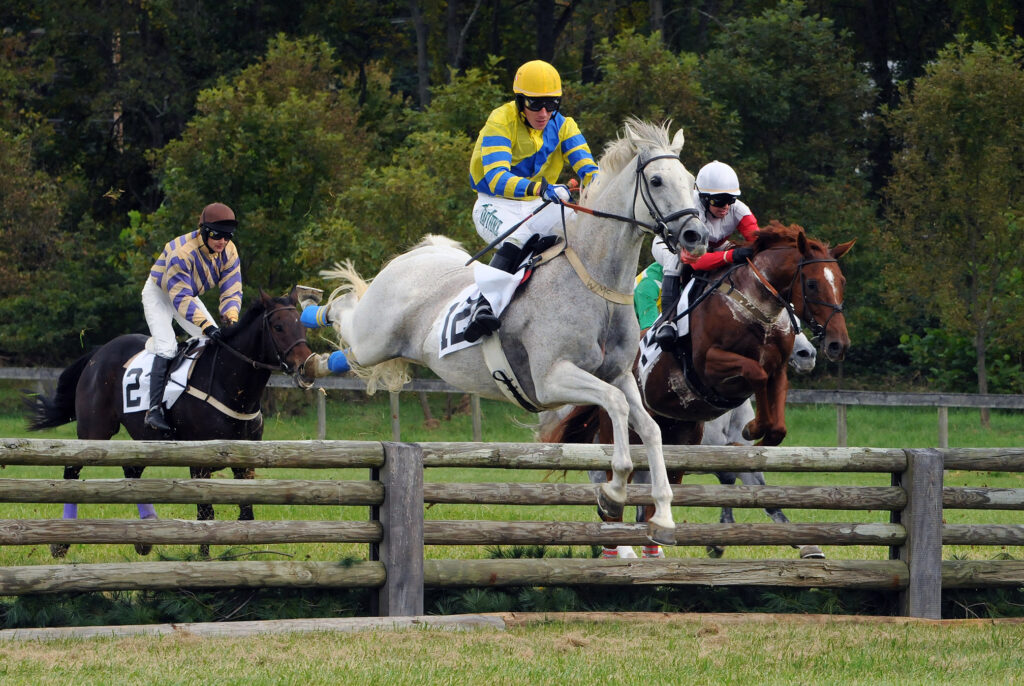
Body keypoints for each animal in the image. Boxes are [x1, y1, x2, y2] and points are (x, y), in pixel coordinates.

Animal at [24, 288, 316, 558]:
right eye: (278, 327)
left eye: (303, 325)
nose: (306, 367)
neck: (230, 383)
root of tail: (98, 353)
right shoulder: (200, 462)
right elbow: (205, 513)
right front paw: (204, 558)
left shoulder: (246, 461)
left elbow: (247, 513)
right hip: (95, 429)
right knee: (72, 472)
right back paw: (61, 543)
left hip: (146, 438)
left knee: (131, 472)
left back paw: (145, 535)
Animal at [303, 119, 711, 545]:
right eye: (657, 180)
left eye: (692, 182)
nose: (696, 237)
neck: (595, 283)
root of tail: (413, 256)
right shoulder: (550, 380)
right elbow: (615, 406)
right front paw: (613, 492)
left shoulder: (617, 374)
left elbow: (649, 427)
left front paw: (663, 516)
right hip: (374, 338)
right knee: (344, 311)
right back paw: (308, 326)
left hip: (379, 344)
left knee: (347, 336)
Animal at [542, 221, 854, 554]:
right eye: (812, 284)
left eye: (842, 282)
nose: (834, 345)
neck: (755, 309)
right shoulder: (709, 363)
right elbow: (755, 373)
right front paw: (754, 429)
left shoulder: (777, 371)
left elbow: (774, 430)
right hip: (619, 435)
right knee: (614, 492)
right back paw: (618, 542)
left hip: (677, 443)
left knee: (651, 499)